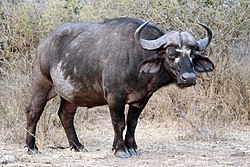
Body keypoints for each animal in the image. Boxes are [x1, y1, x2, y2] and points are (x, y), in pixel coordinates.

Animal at [25, 17, 214, 158]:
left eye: (192, 54)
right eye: (171, 54)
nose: (189, 78)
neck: (136, 58)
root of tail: (44, 43)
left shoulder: (142, 99)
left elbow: (132, 122)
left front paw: (132, 147)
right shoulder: (115, 97)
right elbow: (119, 122)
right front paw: (120, 149)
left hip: (71, 93)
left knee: (65, 115)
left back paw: (77, 146)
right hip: (41, 83)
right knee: (34, 111)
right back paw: (32, 147)